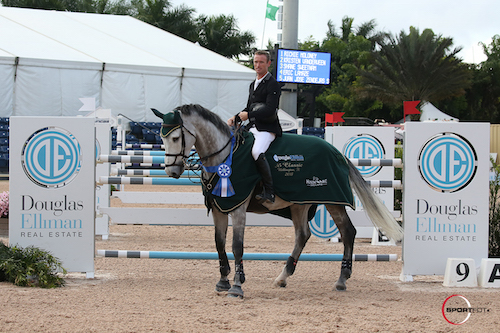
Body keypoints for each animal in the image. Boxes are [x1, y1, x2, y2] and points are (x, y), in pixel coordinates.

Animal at [151, 103, 402, 296]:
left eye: (176, 137)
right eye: (162, 138)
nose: (172, 172)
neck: (224, 156)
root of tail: (337, 152)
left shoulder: (238, 208)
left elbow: (237, 246)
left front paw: (237, 286)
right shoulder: (219, 209)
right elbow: (219, 243)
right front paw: (223, 281)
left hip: (333, 201)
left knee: (348, 232)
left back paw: (341, 279)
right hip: (300, 204)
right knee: (303, 235)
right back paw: (283, 277)